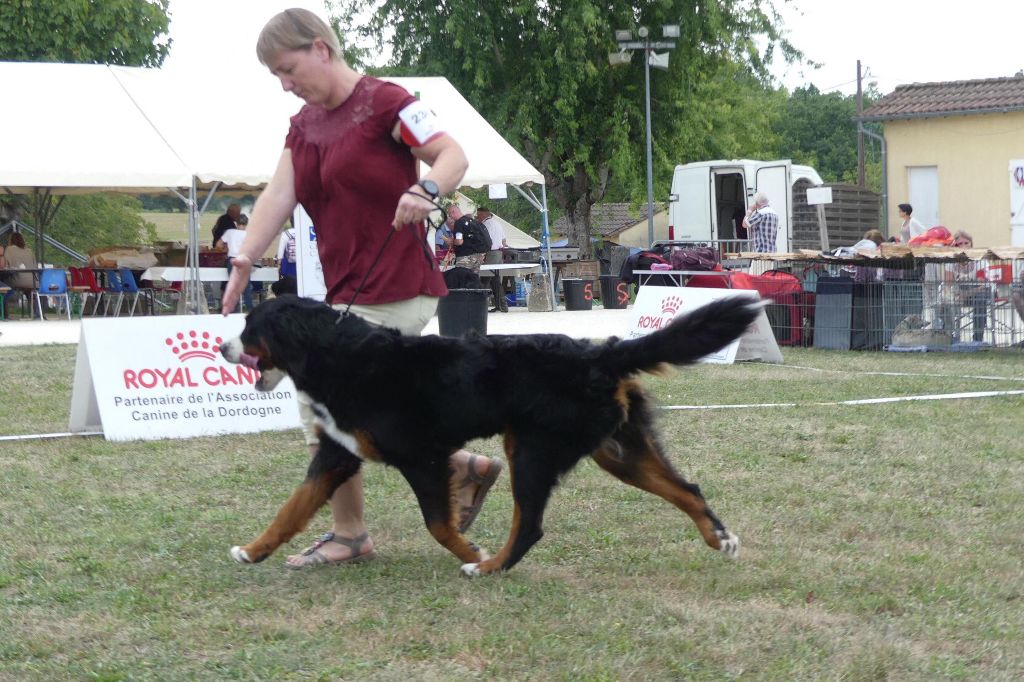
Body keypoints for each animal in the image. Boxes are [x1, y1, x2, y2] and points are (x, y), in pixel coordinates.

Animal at [218, 292, 761, 573]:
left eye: (249, 327)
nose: (222, 346)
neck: (337, 356)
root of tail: (599, 352)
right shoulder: (337, 455)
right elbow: (292, 510)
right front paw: (255, 550)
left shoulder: (423, 457)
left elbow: (439, 524)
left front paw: (470, 552)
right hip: (618, 452)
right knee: (688, 489)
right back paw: (721, 539)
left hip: (532, 451)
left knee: (530, 525)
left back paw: (489, 566)